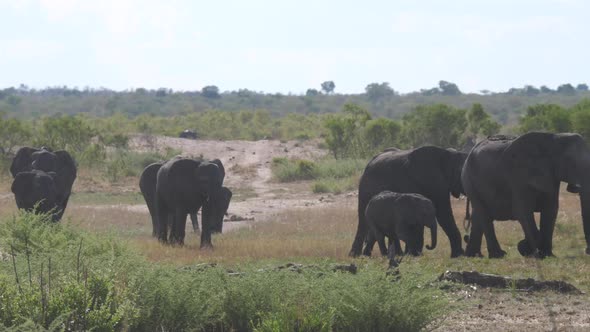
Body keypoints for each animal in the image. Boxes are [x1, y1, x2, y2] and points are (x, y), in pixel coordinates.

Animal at [462, 133, 590, 260]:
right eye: (571, 162)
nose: (587, 251)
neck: (553, 140)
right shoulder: (518, 176)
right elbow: (523, 212)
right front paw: (531, 251)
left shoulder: (551, 176)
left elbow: (550, 211)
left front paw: (548, 255)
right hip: (469, 180)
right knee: (484, 215)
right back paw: (498, 255)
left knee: (477, 216)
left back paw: (473, 255)